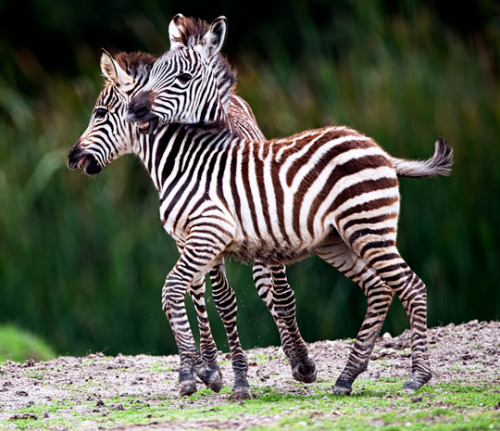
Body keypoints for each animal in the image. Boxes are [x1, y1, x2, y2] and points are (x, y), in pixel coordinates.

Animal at [125, 15, 454, 396]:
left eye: (183, 78)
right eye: (152, 73)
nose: (134, 108)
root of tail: (380, 151)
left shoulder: (241, 231)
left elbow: (264, 295)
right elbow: (208, 294)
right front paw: (210, 370)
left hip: (360, 229)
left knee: (408, 286)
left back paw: (415, 376)